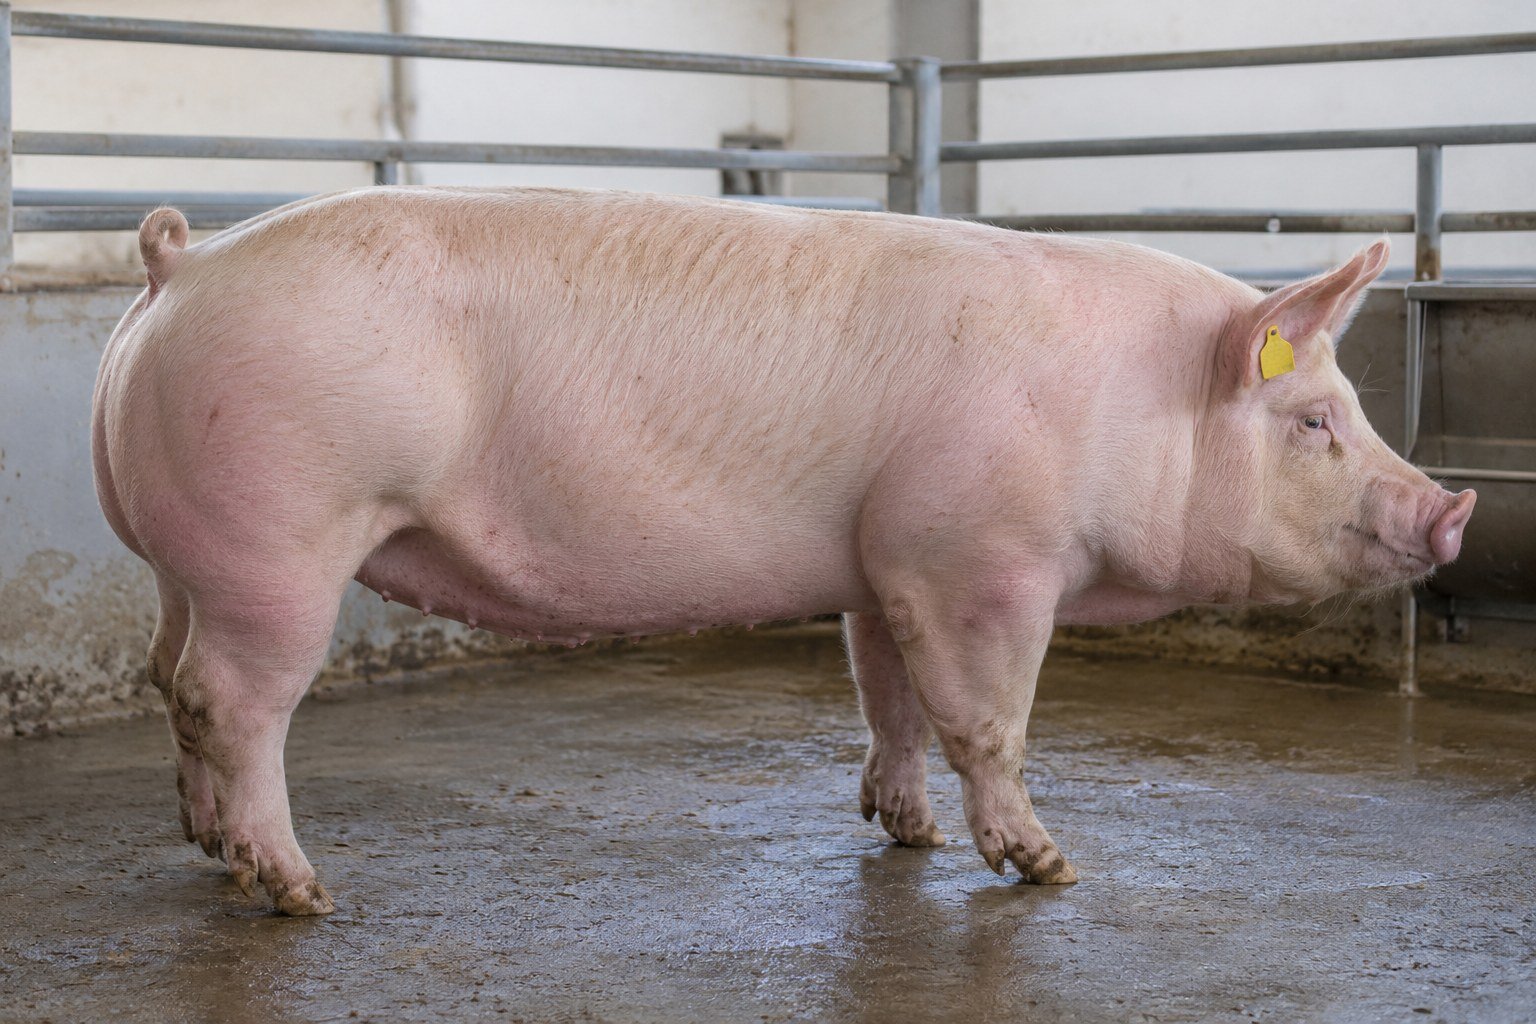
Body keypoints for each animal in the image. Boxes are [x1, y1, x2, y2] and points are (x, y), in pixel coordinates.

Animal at [92, 187, 1474, 916]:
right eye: (1316, 421)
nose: (1452, 508)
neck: (1121, 407)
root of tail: (177, 268)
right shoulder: (981, 558)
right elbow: (990, 721)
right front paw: (1045, 867)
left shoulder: (889, 561)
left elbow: (892, 703)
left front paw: (909, 838)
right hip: (281, 541)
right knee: (237, 700)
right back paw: (298, 890)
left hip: (183, 555)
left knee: (173, 681)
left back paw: (207, 846)